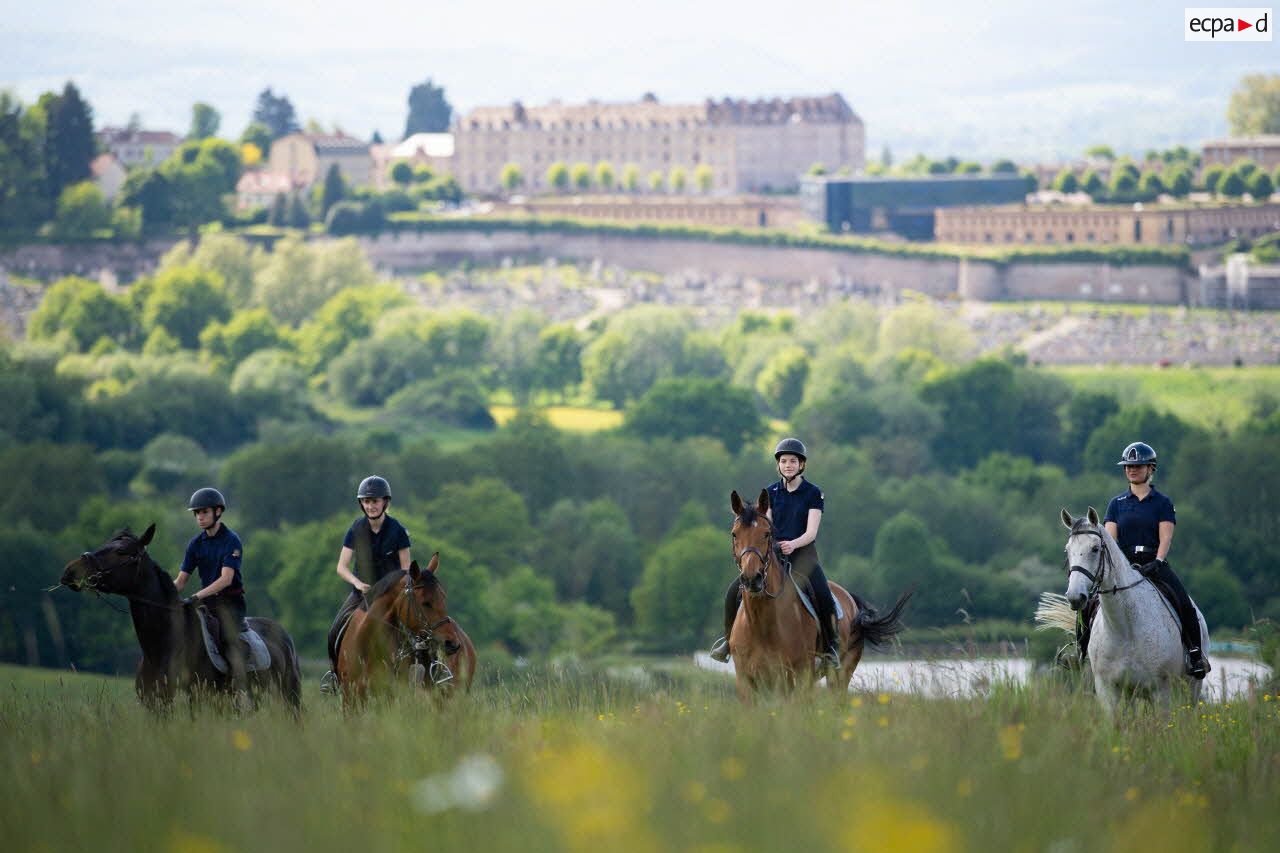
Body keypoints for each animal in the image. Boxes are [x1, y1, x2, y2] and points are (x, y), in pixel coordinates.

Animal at [60, 525, 302, 712]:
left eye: (121, 551)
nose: (69, 571)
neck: (163, 646)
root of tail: (282, 632)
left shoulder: (195, 701)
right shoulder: (155, 706)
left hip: (288, 697)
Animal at [732, 489, 911, 701]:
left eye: (767, 534)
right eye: (734, 534)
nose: (752, 579)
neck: (762, 624)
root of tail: (849, 597)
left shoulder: (797, 674)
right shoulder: (745, 680)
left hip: (841, 673)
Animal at [1049, 504, 1208, 712]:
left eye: (1095, 549)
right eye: (1067, 550)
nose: (1075, 597)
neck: (1125, 628)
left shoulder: (1161, 692)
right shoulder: (1108, 689)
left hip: (1190, 690)